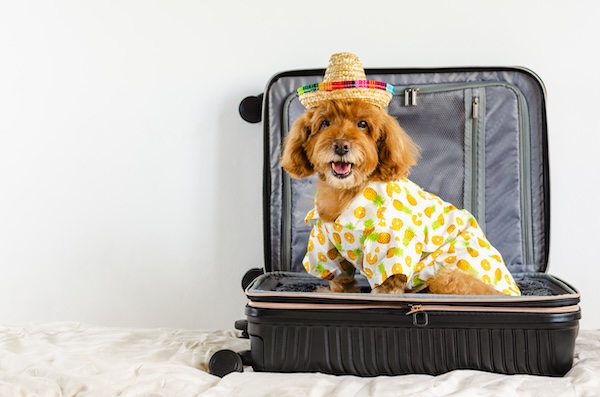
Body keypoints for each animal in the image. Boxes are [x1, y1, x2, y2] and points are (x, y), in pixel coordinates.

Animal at [282, 97, 520, 296]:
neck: (346, 193)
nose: (341, 145)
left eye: (363, 124)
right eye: (324, 123)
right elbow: (340, 278)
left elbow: (387, 284)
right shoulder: (326, 247)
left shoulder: (391, 247)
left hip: (448, 277)